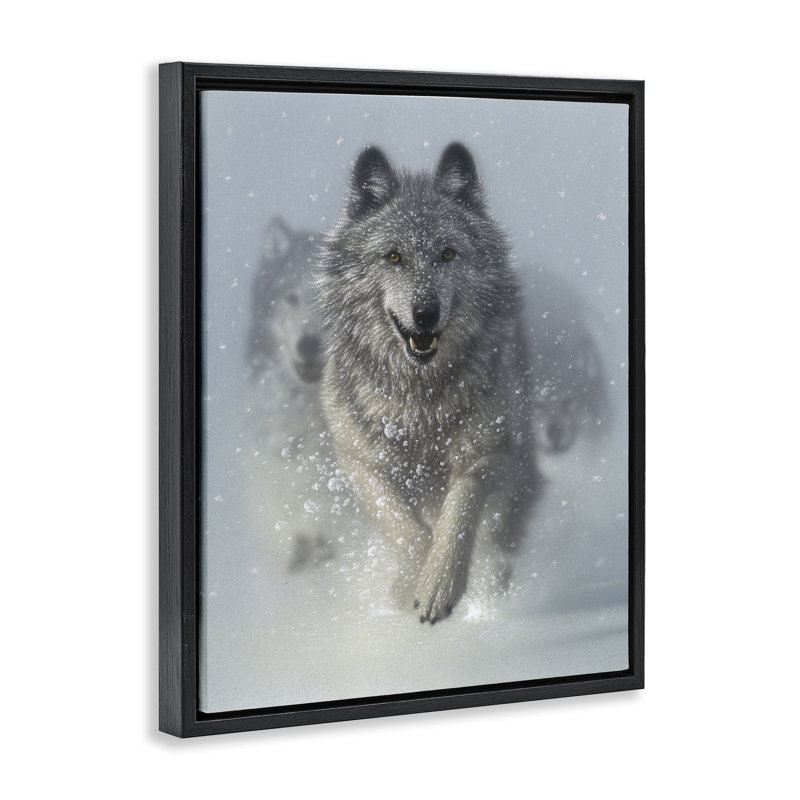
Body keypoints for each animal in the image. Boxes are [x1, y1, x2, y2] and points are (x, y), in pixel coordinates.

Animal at [317, 143, 539, 623]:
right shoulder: (358, 461)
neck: (419, 401)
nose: (425, 314)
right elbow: (403, 525)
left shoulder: (493, 453)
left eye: (448, 254)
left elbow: (459, 509)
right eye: (393, 256)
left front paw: (439, 584)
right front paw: (412, 580)